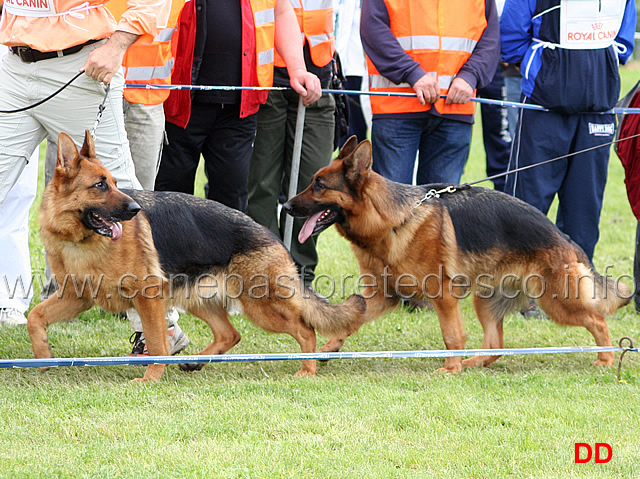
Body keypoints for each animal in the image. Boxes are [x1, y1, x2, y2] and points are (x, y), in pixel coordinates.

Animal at [27, 132, 364, 382]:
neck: (80, 241)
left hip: (262, 306)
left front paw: (151, 378)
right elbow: (35, 317)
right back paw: (197, 361)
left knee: (305, 330)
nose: (136, 209)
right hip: (199, 299)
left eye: (112, 183)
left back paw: (307, 369)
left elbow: (158, 341)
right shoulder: (77, 296)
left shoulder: (148, 297)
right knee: (230, 334)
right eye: (100, 185)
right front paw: (43, 357)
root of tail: (271, 235)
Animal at [284, 137, 632, 374]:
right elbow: (350, 319)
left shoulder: (442, 295)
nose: (286, 207)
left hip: (556, 301)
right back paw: (473, 363)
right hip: (486, 301)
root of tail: (563, 236)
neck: (393, 220)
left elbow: (451, 335)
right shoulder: (384, 295)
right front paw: (327, 349)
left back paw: (606, 358)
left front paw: (450, 368)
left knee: (597, 319)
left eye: (319, 185)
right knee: (496, 347)